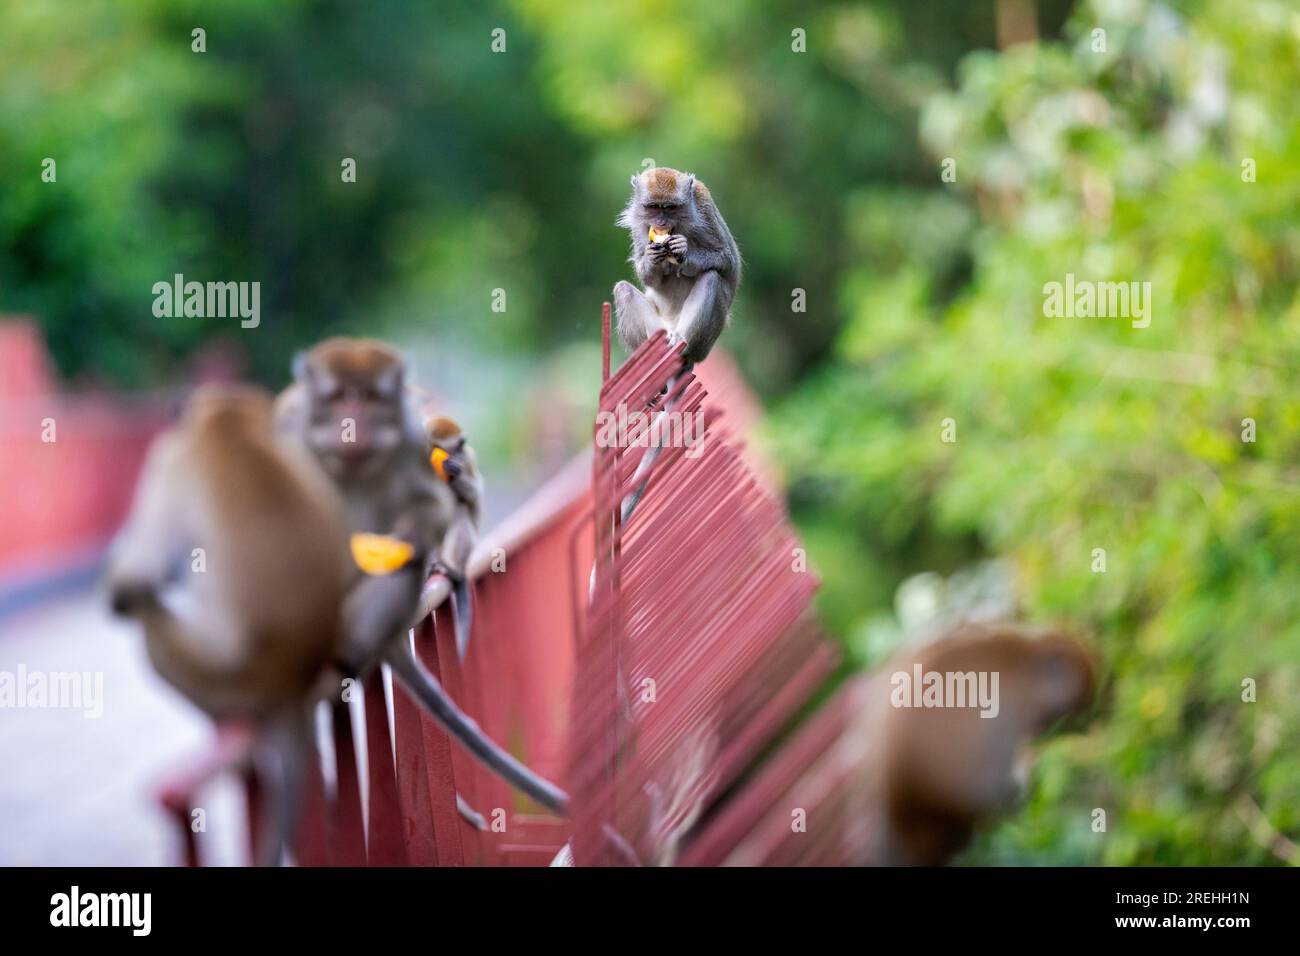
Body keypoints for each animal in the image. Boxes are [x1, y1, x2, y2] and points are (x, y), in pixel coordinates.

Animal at [106, 382, 351, 868]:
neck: (230, 427)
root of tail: (289, 685)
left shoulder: (169, 461)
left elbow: (139, 575)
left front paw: (122, 590)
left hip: (217, 678)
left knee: (149, 628)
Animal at [276, 338, 566, 816]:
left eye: (457, 444)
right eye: (437, 443)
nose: (450, 459)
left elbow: (469, 500)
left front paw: (457, 483)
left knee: (458, 516)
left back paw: (446, 567)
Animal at [611, 167, 738, 366]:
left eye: (670, 208)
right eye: (654, 207)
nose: (661, 223)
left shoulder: (705, 211)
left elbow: (727, 259)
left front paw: (683, 253)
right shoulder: (638, 226)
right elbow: (648, 279)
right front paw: (650, 259)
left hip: (701, 346)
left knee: (711, 278)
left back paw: (682, 344)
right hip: (659, 326)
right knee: (623, 290)